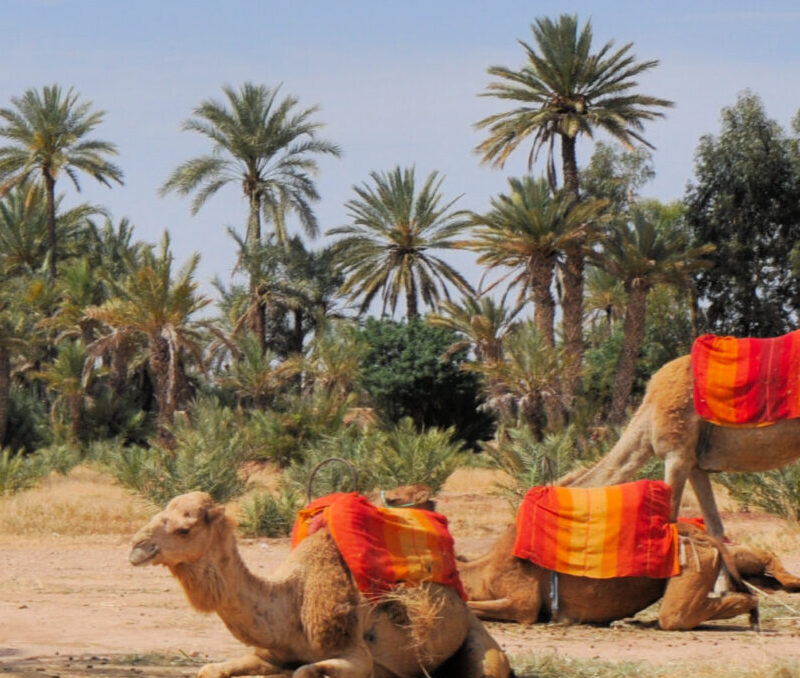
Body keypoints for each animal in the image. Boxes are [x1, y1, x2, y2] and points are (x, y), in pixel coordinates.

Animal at [128, 494, 510, 678]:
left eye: (184, 529)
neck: (290, 605)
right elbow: (209, 669)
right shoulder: (268, 652)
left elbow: (305, 672)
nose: (136, 548)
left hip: (478, 637)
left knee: (491, 667)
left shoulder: (357, 656)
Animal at [460, 520, 760, 632]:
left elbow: (474, 607)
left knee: (677, 616)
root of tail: (698, 533)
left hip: (692, 561)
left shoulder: (523, 604)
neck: (481, 573)